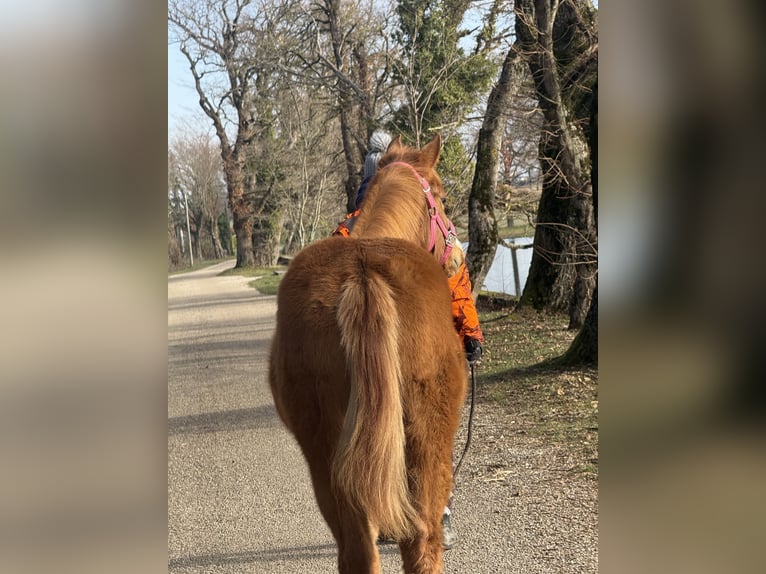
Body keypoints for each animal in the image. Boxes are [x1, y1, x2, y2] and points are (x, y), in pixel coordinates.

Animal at [268, 134, 467, 574]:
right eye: (443, 198)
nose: (458, 258)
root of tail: (363, 274)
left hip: (326, 460)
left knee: (358, 550)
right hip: (427, 443)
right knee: (423, 539)